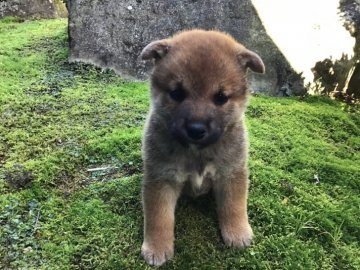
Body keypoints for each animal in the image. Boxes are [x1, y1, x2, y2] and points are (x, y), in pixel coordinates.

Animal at [140, 29, 264, 266]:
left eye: (221, 97)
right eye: (177, 93)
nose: (196, 129)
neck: (198, 152)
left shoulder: (231, 173)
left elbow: (234, 206)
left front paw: (237, 233)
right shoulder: (161, 178)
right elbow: (159, 217)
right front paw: (157, 247)